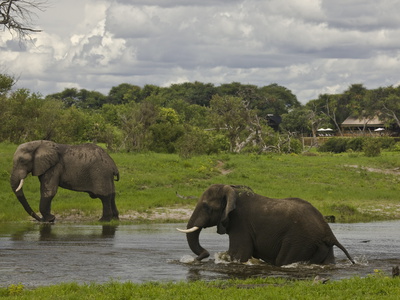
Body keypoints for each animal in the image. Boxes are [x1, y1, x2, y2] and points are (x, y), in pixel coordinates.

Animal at [177, 184, 354, 266]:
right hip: (322, 247)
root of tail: (329, 233)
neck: (232, 189)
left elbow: (238, 254)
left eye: (206, 207)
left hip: (299, 241)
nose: (197, 258)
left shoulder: (240, 223)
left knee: (284, 260)